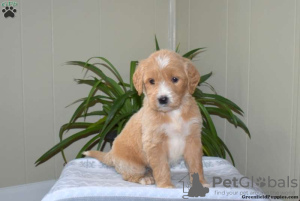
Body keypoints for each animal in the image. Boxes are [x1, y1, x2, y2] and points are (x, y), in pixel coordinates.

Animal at [83, 49, 207, 188]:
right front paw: (166, 186)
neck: (172, 113)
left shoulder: (193, 139)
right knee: (128, 176)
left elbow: (196, 164)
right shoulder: (154, 143)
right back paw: (144, 178)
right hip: (132, 165)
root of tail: (111, 154)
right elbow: (161, 167)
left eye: (175, 79)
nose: (162, 99)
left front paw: (201, 183)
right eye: (151, 81)